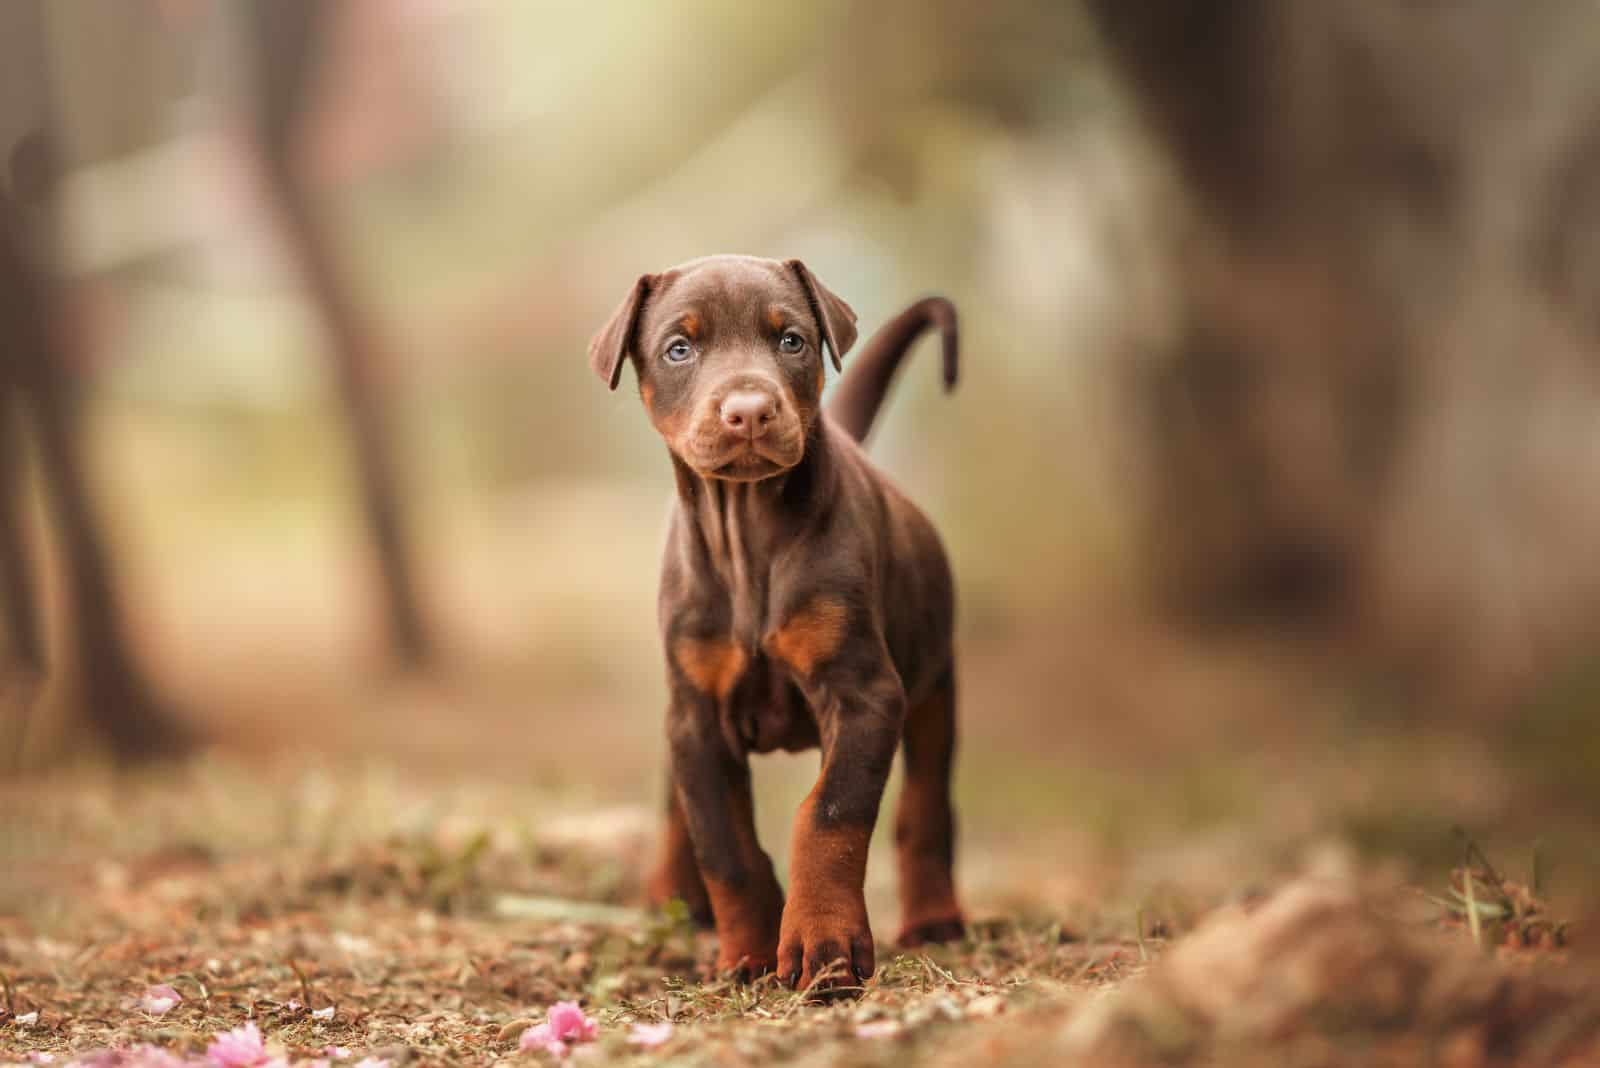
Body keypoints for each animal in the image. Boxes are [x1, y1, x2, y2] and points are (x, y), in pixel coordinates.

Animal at [588, 255, 960, 991]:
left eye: (791, 340)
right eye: (680, 348)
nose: (750, 410)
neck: (748, 529)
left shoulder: (866, 692)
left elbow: (830, 815)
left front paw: (824, 945)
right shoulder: (696, 716)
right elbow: (724, 844)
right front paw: (747, 954)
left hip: (935, 684)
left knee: (927, 805)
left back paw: (935, 916)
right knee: (678, 810)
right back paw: (674, 897)